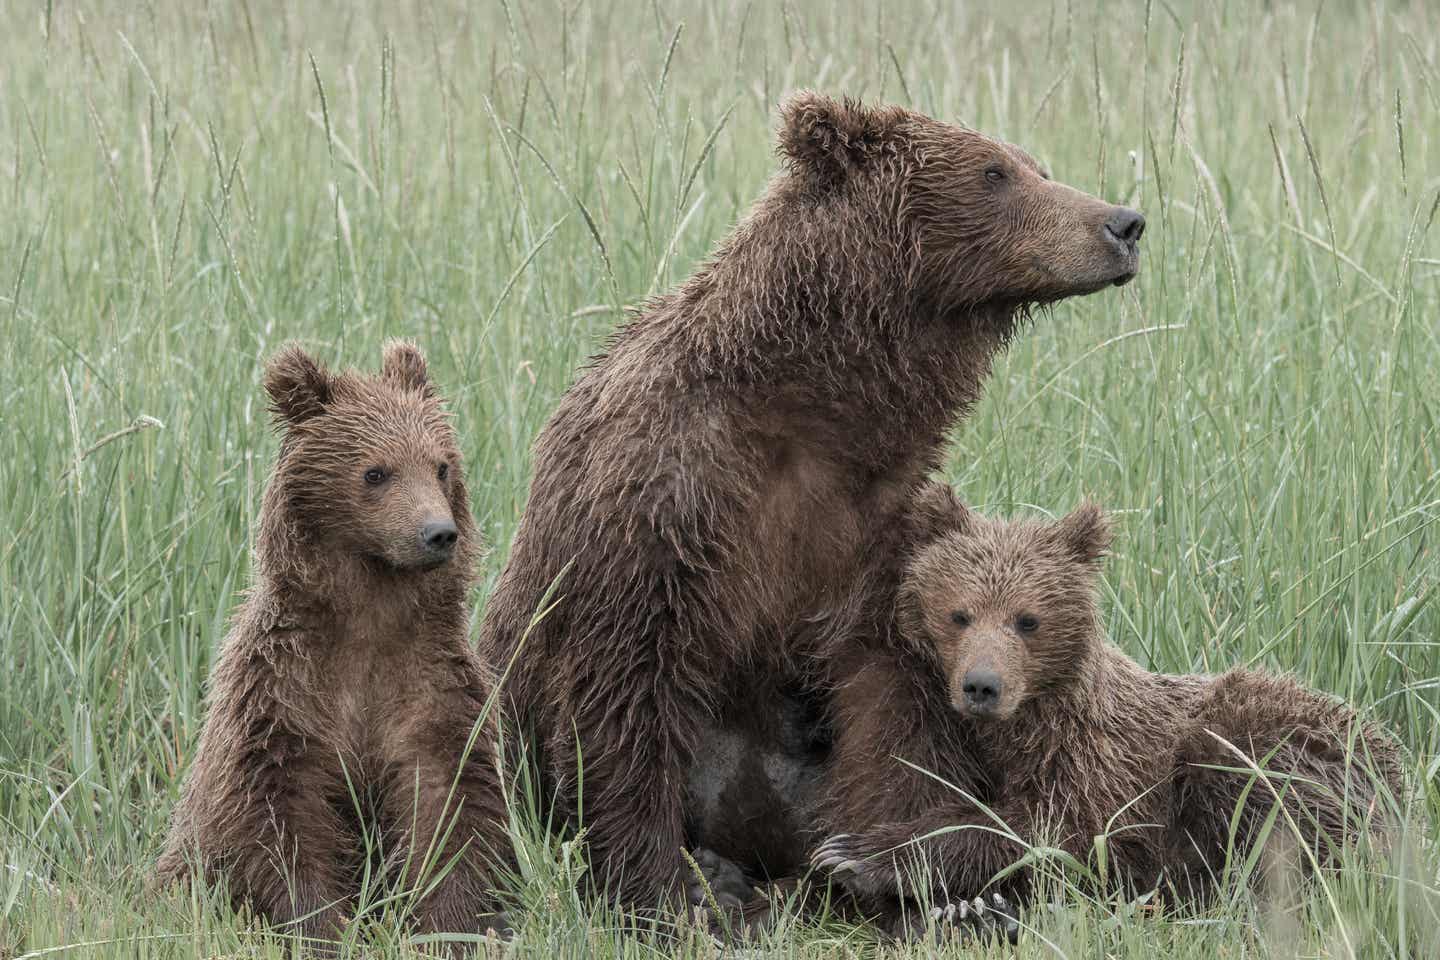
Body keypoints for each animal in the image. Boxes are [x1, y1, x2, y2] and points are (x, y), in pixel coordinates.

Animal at [151, 341, 509, 949]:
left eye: (441, 465)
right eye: (375, 471)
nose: (438, 533)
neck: (369, 617)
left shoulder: (429, 683)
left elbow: (449, 800)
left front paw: (445, 924)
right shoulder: (284, 690)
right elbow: (278, 814)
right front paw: (323, 926)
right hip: (184, 865)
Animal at [483, 89, 1146, 909]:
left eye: (1038, 166)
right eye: (995, 172)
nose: (1123, 222)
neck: (812, 407)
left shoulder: (871, 528)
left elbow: (890, 700)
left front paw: (883, 864)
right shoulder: (662, 501)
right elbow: (624, 689)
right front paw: (668, 889)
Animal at [817, 503, 1399, 915]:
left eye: (1027, 619)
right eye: (960, 614)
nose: (982, 686)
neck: (1026, 728)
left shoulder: (1105, 764)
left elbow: (1056, 830)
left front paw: (860, 854)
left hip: (1279, 742)